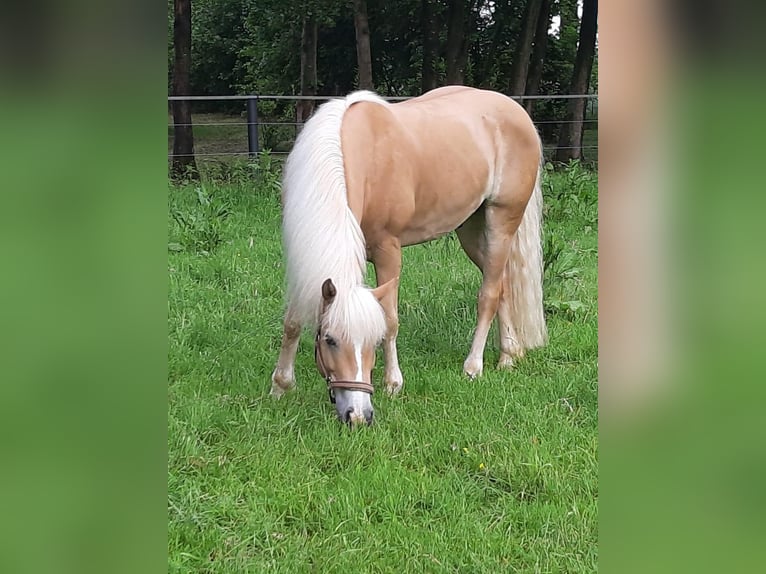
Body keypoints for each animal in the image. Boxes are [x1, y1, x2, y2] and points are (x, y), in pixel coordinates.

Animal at [270, 86, 544, 428]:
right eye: (329, 339)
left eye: (372, 341)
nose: (358, 416)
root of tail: (517, 112)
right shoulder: (303, 260)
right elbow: (292, 321)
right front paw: (281, 386)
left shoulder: (389, 250)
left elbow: (390, 319)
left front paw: (393, 383)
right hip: (470, 228)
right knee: (502, 283)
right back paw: (508, 355)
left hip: (501, 221)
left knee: (489, 293)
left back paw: (473, 366)